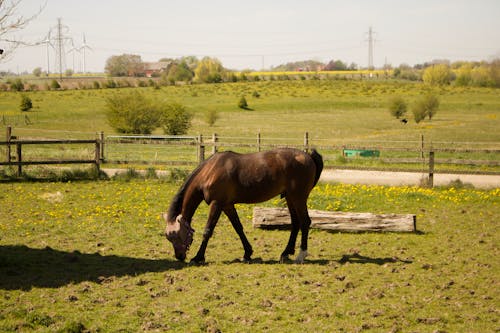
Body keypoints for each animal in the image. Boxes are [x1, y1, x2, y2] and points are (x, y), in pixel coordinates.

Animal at [162, 147, 322, 264]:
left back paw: (301, 255)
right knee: (295, 223)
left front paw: (198, 257)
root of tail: (308, 156)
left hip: (298, 197)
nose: (179, 256)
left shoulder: (217, 204)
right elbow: (238, 228)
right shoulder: (227, 205)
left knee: (305, 222)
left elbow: (208, 230)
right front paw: (247, 253)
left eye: (176, 235)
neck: (210, 171)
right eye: (168, 238)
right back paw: (286, 253)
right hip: (290, 197)